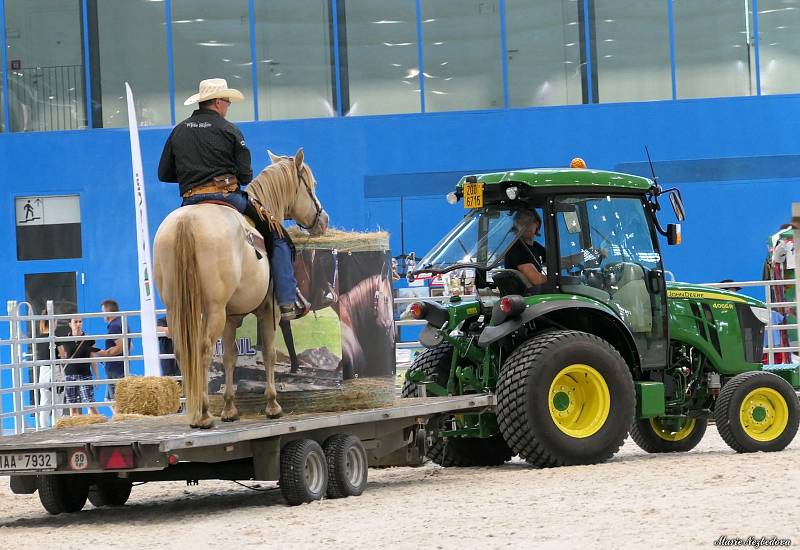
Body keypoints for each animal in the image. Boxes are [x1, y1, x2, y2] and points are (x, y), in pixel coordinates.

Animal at [153, 151, 328, 432]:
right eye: (312, 184)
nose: (323, 220)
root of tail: (187, 222)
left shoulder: (231, 317)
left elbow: (230, 357)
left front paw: (229, 408)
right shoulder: (268, 310)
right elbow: (268, 352)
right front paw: (272, 405)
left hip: (176, 308)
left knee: (183, 351)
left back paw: (195, 410)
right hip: (213, 309)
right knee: (203, 350)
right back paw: (203, 414)